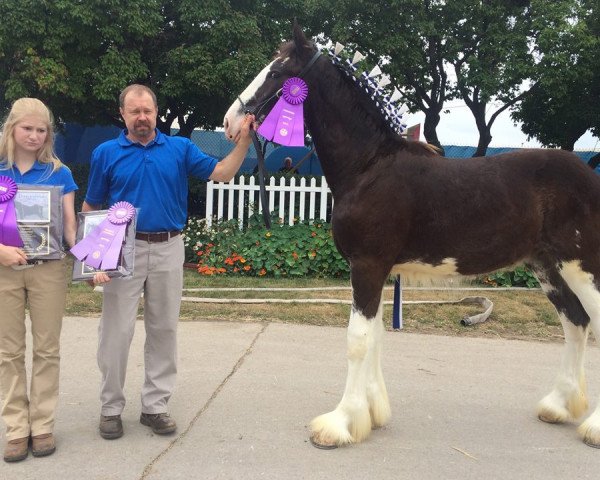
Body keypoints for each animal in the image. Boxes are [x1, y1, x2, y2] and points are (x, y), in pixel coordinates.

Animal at [223, 23, 600, 450]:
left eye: (276, 73)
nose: (231, 121)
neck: (369, 167)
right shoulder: (379, 270)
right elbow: (375, 336)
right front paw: (371, 414)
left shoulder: (367, 265)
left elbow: (358, 339)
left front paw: (339, 424)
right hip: (549, 268)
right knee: (576, 323)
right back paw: (558, 405)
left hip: (581, 265)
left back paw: (592, 427)